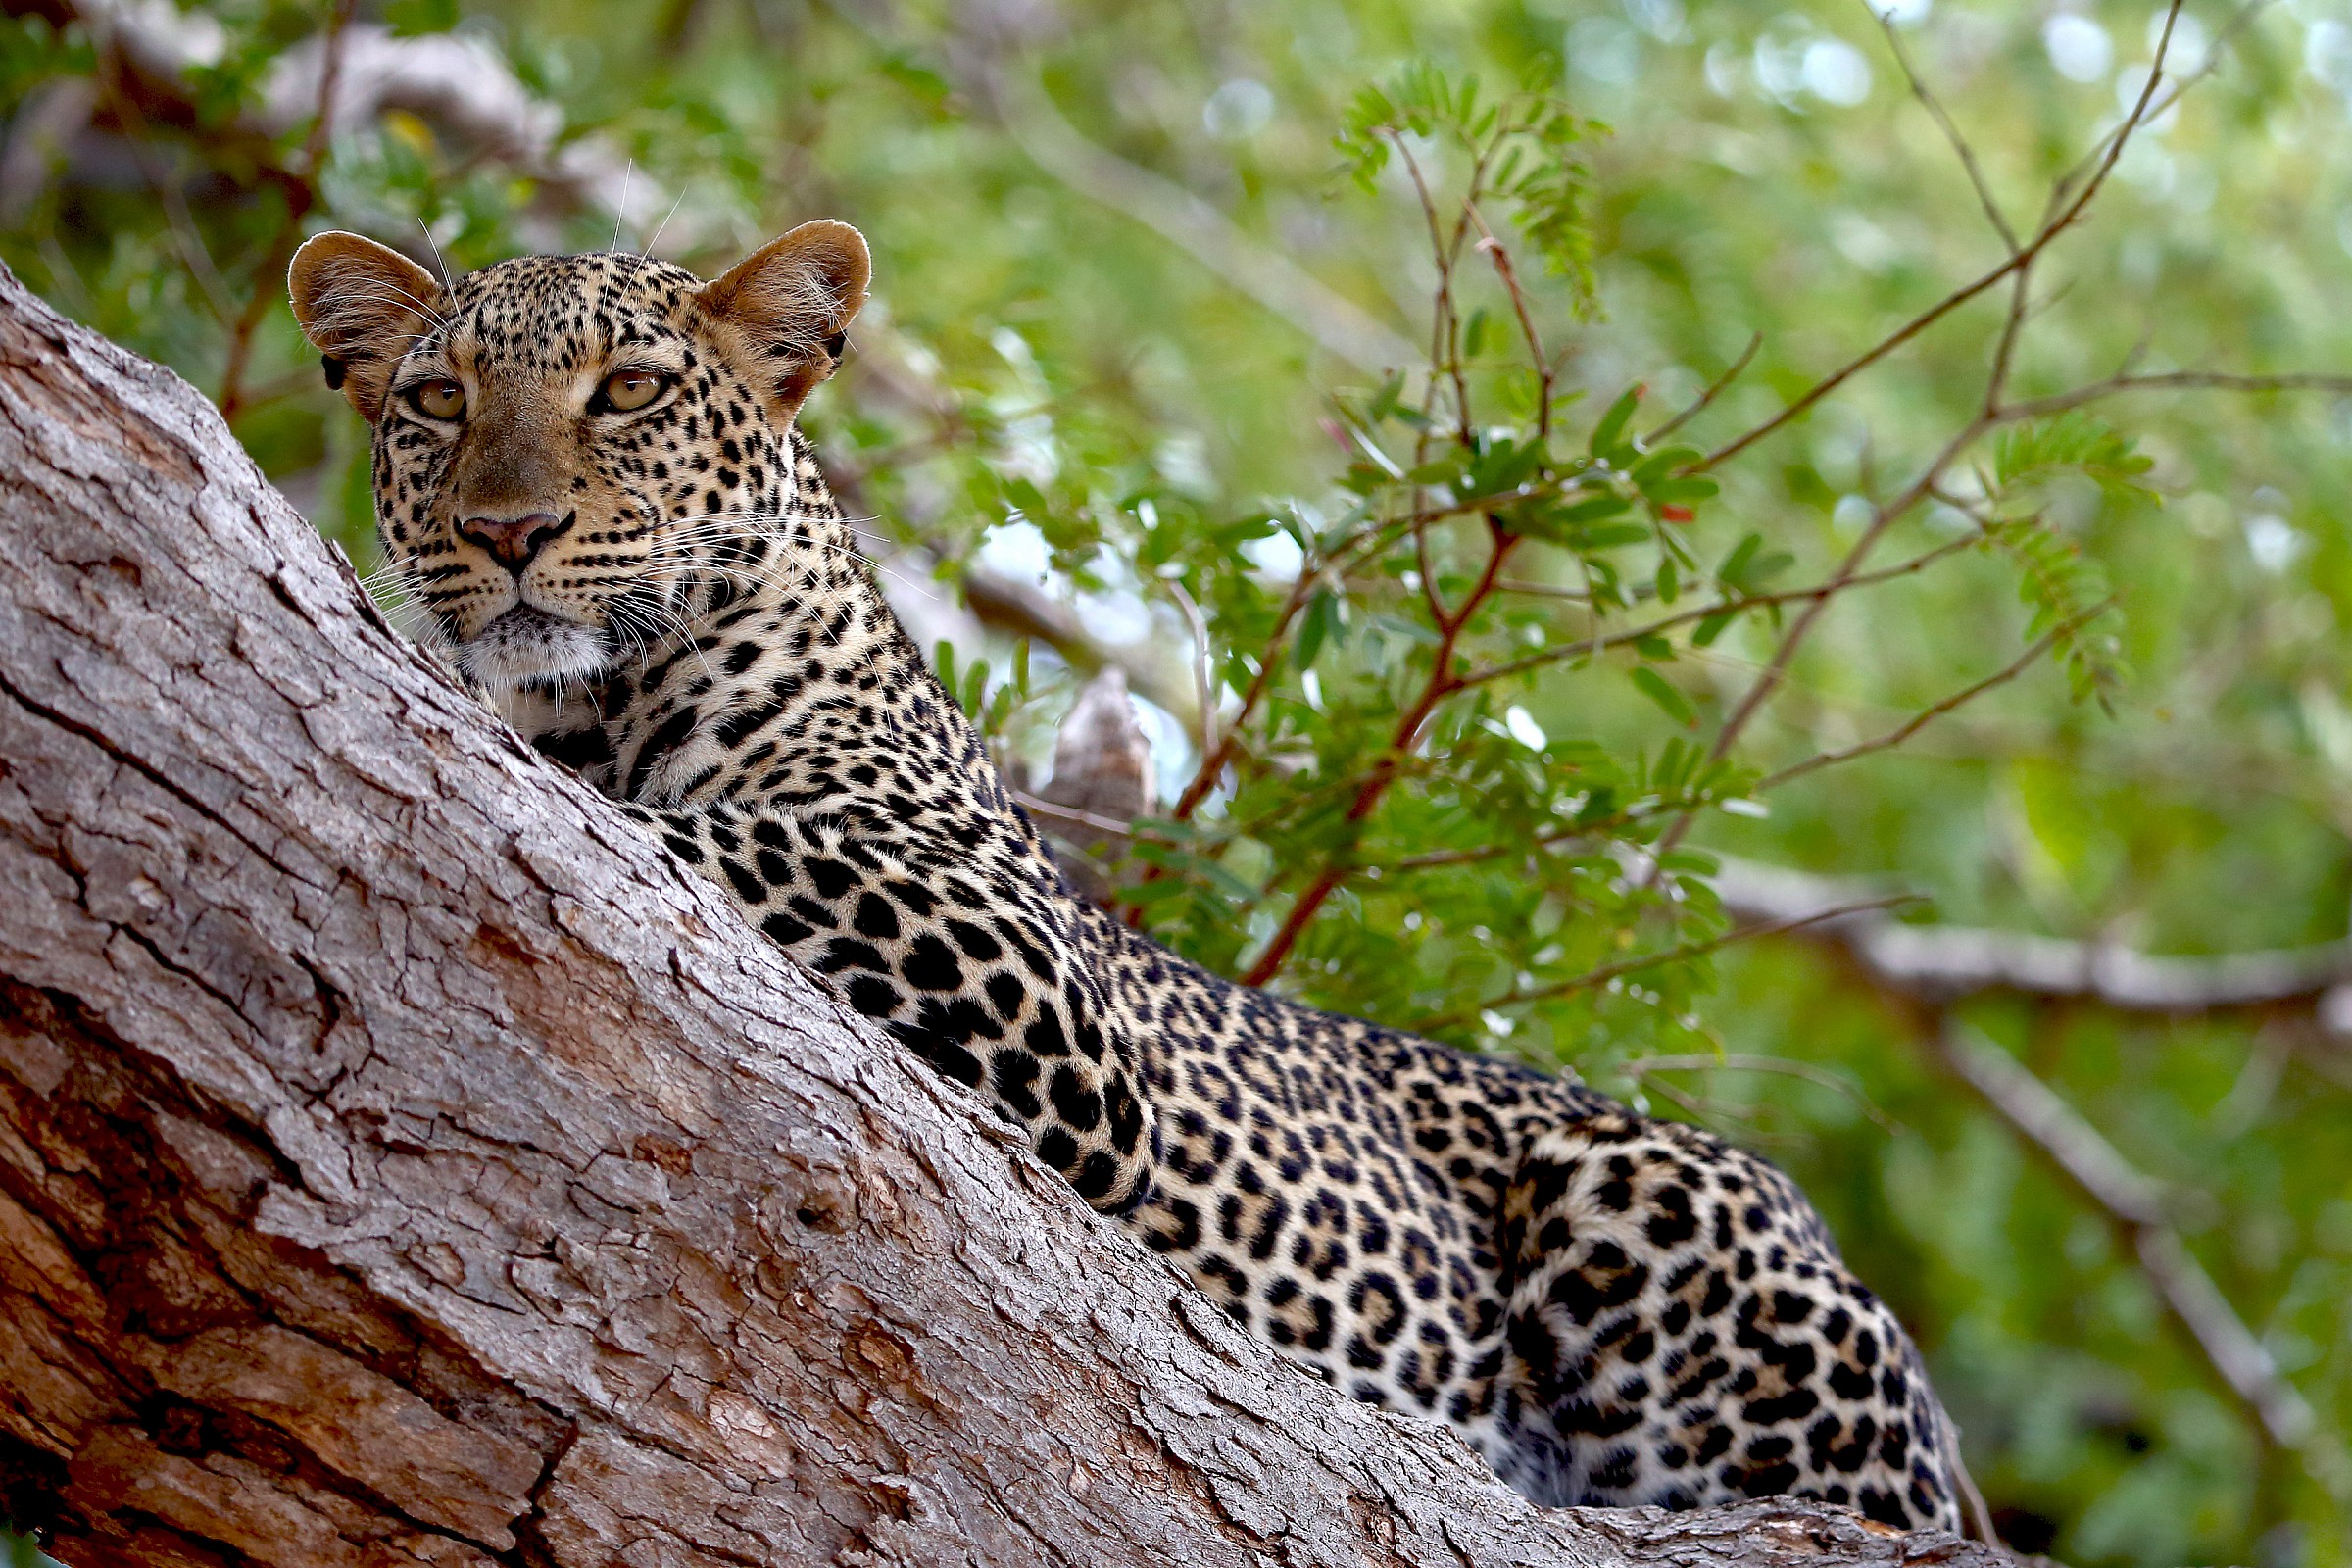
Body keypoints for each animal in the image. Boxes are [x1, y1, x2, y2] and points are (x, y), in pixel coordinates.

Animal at [288, 222, 1968, 1533]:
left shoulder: (1027, 976)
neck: (598, 705)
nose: (509, 529)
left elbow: (707, 831)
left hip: (1668, 1212)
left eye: (628, 391)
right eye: (436, 401)